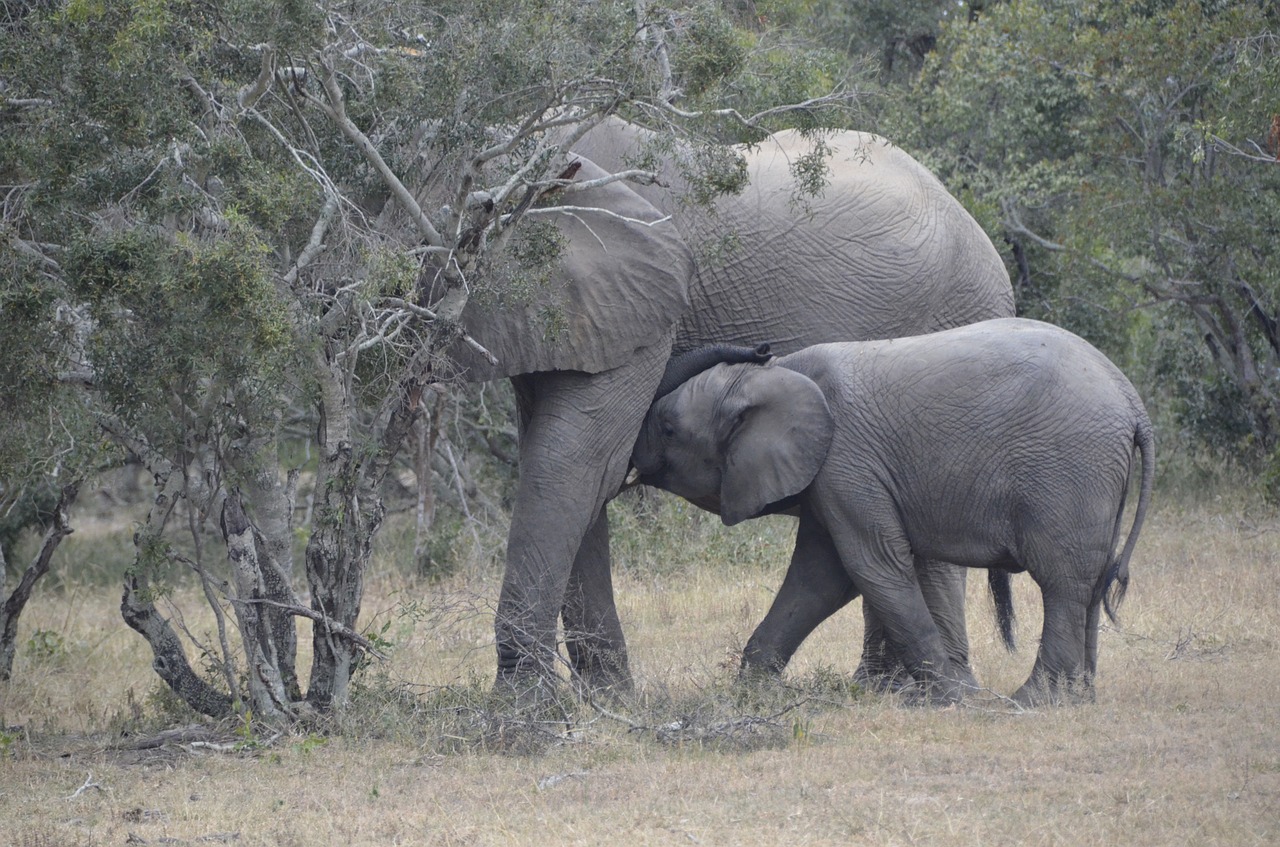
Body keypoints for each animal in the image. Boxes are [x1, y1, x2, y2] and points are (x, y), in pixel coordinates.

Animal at [445, 120, 1013, 701]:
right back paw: (882, 689)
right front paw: (607, 698)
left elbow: (577, 462)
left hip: (953, 315)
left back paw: (916, 692)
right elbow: (567, 466)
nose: (762, 349)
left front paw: (546, 702)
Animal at [634, 317, 1157, 701]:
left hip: (1068, 470)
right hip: (1095, 476)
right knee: (1092, 581)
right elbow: (821, 578)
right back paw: (1081, 697)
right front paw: (750, 692)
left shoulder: (848, 461)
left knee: (1062, 583)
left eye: (668, 429)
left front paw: (958, 701)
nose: (759, 347)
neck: (781, 372)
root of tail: (1133, 403)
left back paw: (1033, 702)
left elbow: (873, 567)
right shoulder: (833, 477)